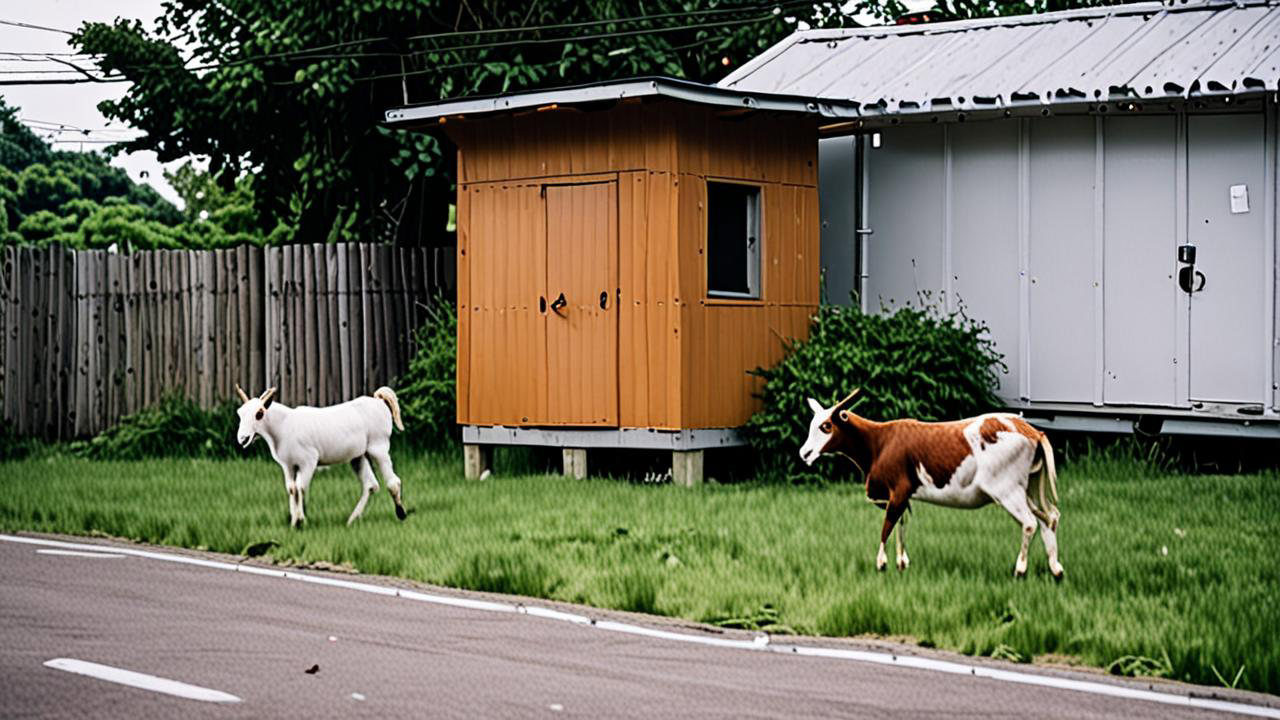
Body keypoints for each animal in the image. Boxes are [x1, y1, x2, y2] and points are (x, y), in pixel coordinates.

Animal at [235, 385, 407, 528]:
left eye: (259, 413)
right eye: (240, 413)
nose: (243, 439)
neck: (283, 426)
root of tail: (379, 401)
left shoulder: (308, 461)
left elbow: (300, 488)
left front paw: (300, 520)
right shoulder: (288, 465)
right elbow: (292, 489)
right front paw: (294, 522)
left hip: (378, 446)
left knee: (393, 482)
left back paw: (401, 514)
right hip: (358, 456)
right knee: (370, 485)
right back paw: (351, 520)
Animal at [799, 390, 1062, 579]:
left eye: (826, 426)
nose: (804, 453)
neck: (879, 441)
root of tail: (1031, 431)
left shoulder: (898, 490)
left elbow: (887, 525)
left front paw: (881, 564)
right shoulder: (902, 495)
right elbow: (901, 523)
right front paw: (902, 564)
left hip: (1007, 490)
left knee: (1029, 523)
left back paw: (1020, 570)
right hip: (1029, 486)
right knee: (1049, 517)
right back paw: (1056, 569)